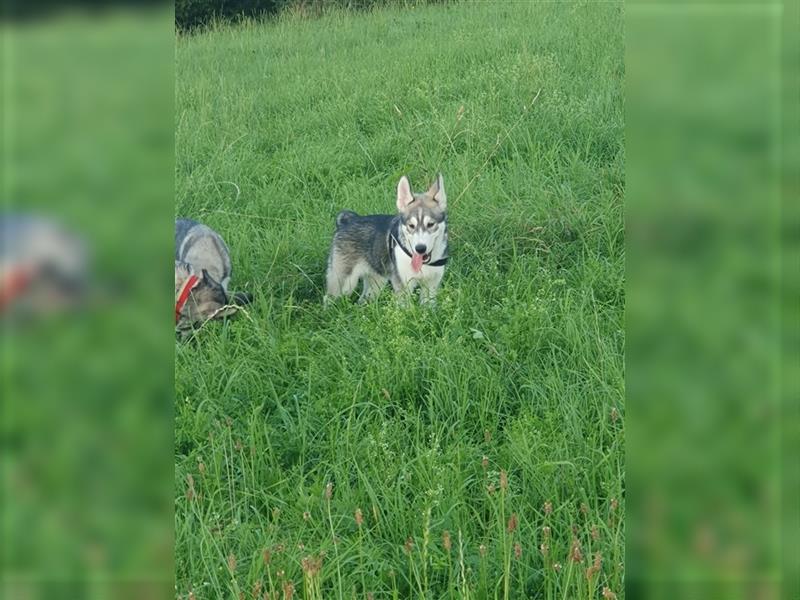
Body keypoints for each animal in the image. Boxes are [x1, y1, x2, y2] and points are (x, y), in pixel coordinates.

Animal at [326, 173, 450, 304]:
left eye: (430, 224)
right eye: (411, 226)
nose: (420, 248)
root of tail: (347, 220)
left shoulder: (431, 286)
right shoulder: (403, 287)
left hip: (375, 284)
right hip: (344, 284)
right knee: (328, 298)